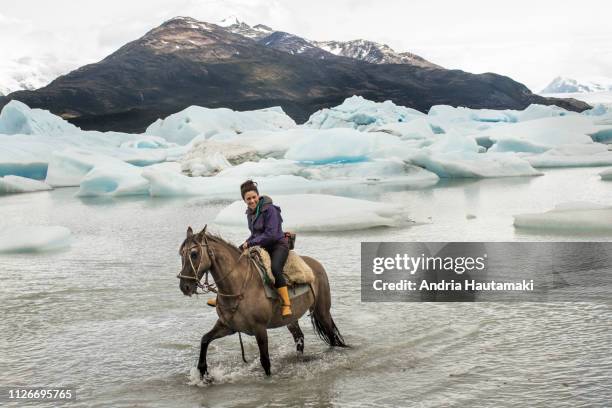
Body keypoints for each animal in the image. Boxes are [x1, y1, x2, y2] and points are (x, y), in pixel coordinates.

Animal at [178, 225, 350, 378]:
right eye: (181, 254)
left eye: (194, 253)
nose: (184, 286)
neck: (239, 287)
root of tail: (315, 265)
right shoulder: (227, 326)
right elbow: (205, 340)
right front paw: (203, 372)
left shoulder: (259, 329)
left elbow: (265, 361)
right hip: (291, 319)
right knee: (299, 337)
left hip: (322, 311)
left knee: (332, 337)